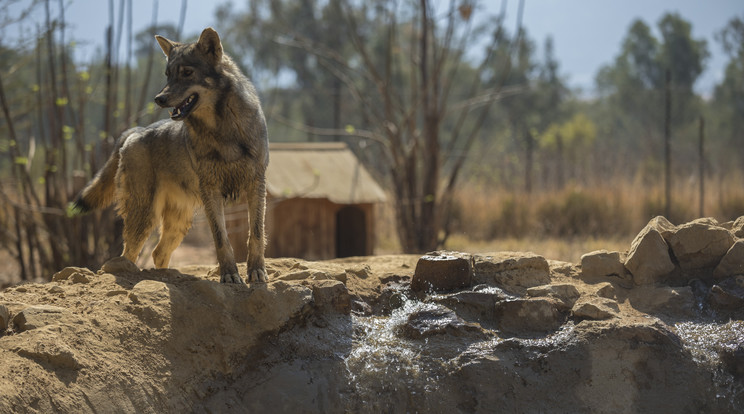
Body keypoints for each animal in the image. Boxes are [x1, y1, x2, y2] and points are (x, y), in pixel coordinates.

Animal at [71, 27, 268, 284]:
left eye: (187, 73)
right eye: (167, 75)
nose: (158, 99)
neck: (222, 129)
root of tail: (135, 131)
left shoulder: (257, 185)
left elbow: (256, 234)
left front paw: (257, 271)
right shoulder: (211, 191)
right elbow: (221, 239)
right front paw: (229, 274)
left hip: (177, 222)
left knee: (158, 252)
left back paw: (165, 275)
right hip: (145, 217)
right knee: (130, 254)